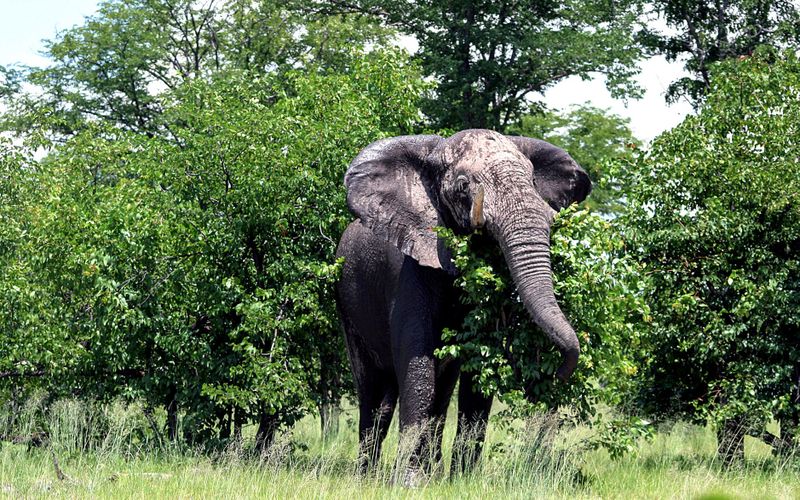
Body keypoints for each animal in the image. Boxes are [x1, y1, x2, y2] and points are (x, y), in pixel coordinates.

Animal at [334, 129, 591, 481]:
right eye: (463, 185)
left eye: (532, 180)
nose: (558, 373)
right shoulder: (411, 264)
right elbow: (417, 357)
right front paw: (410, 482)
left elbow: (480, 362)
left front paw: (463, 480)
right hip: (347, 305)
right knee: (373, 392)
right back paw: (366, 477)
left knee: (437, 393)